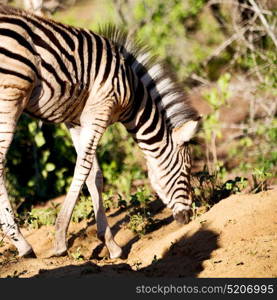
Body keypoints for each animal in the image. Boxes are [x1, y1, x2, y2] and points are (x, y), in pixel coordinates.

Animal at [0, 3, 199, 258]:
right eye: (187, 170)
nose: (188, 217)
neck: (134, 94)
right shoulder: (100, 108)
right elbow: (83, 168)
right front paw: (60, 240)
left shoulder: (77, 120)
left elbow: (94, 175)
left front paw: (111, 244)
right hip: (10, 96)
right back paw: (22, 245)